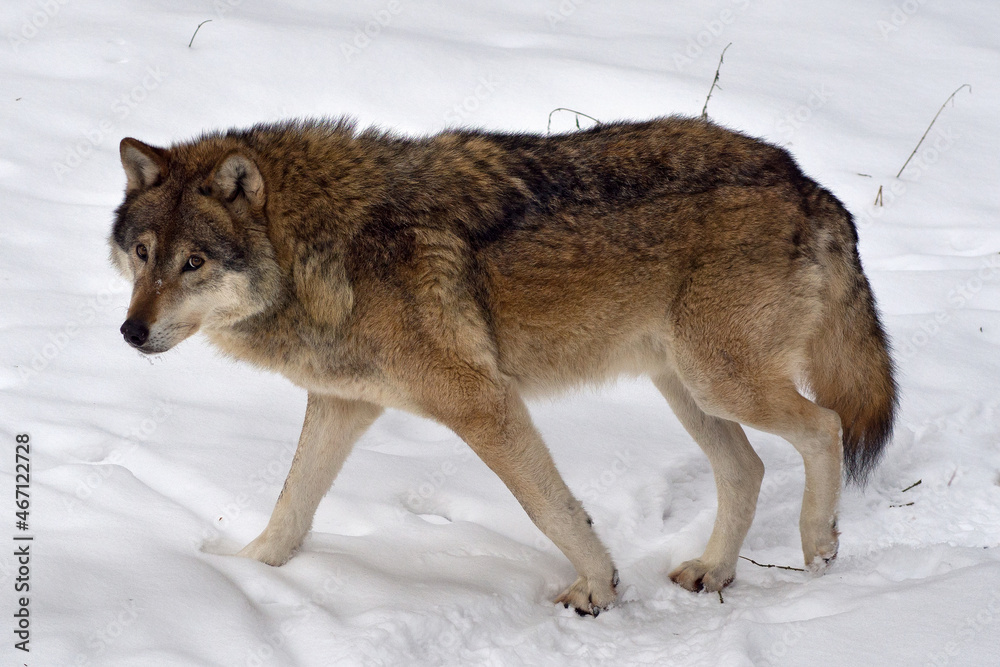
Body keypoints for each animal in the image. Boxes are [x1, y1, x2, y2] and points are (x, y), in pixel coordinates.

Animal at [110, 116, 896, 616]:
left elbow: (550, 506)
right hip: (688, 389)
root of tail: (808, 184)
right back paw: (714, 570)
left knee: (824, 426)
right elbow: (291, 505)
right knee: (748, 468)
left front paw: (598, 588)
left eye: (194, 262)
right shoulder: (344, 403)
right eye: (143, 254)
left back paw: (818, 550)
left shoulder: (481, 403)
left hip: (720, 382)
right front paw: (241, 574)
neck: (326, 246)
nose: (130, 331)